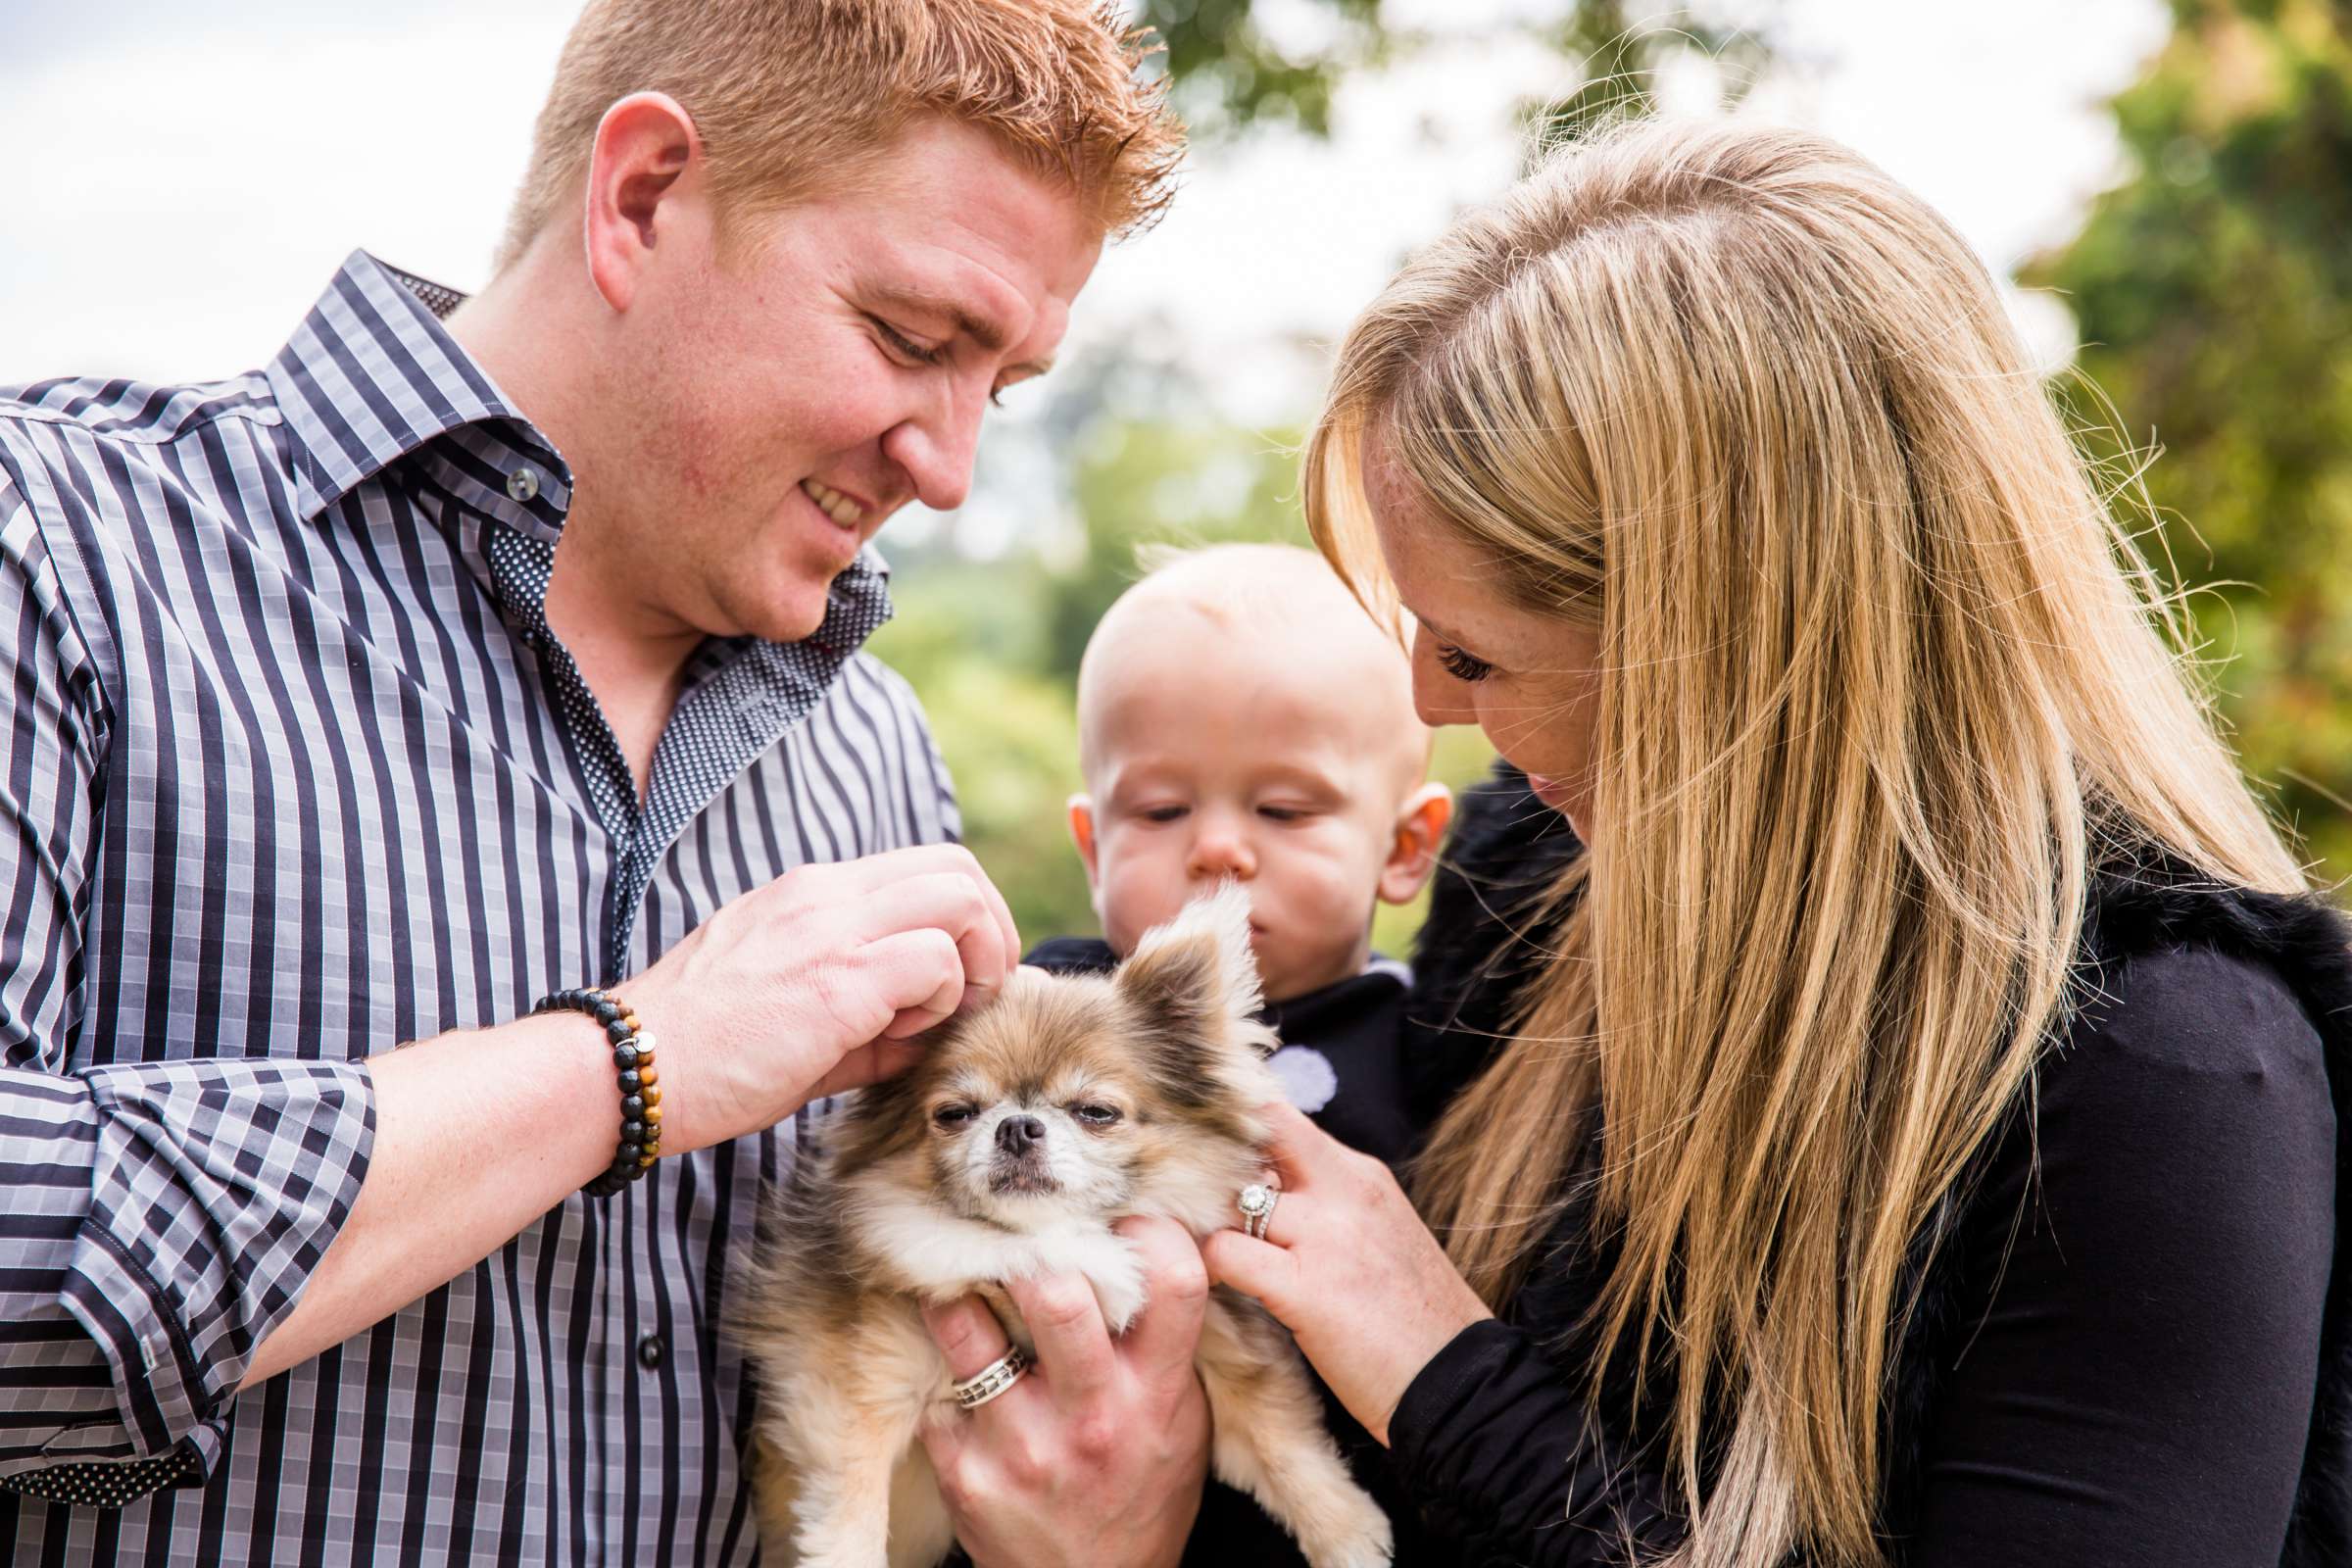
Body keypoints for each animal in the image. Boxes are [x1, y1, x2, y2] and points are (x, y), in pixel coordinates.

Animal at [733, 888, 1392, 1560]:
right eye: (955, 1113)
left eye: (1097, 1111)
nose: (1017, 1126)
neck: (1049, 1239)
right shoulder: (852, 1386)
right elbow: (851, 1502)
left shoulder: (1225, 1343)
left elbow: (1282, 1435)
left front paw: (1347, 1535)